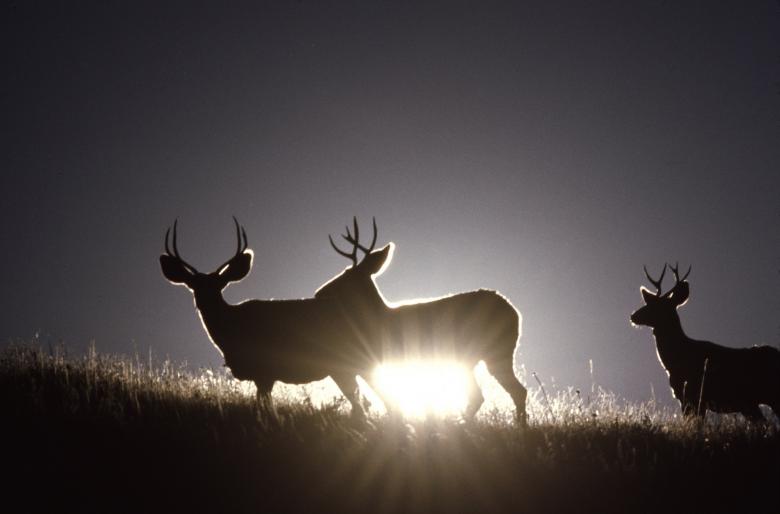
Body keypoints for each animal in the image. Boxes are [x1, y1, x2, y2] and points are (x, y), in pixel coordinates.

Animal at [314, 218, 528, 424]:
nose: (319, 292)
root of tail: (515, 313)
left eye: (346, 275)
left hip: (493, 350)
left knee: (503, 393)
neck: (380, 319)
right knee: (501, 393)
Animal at [630, 263, 780, 420]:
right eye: (649, 302)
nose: (633, 316)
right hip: (751, 404)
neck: (675, 361)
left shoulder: (694, 397)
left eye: (657, 306)